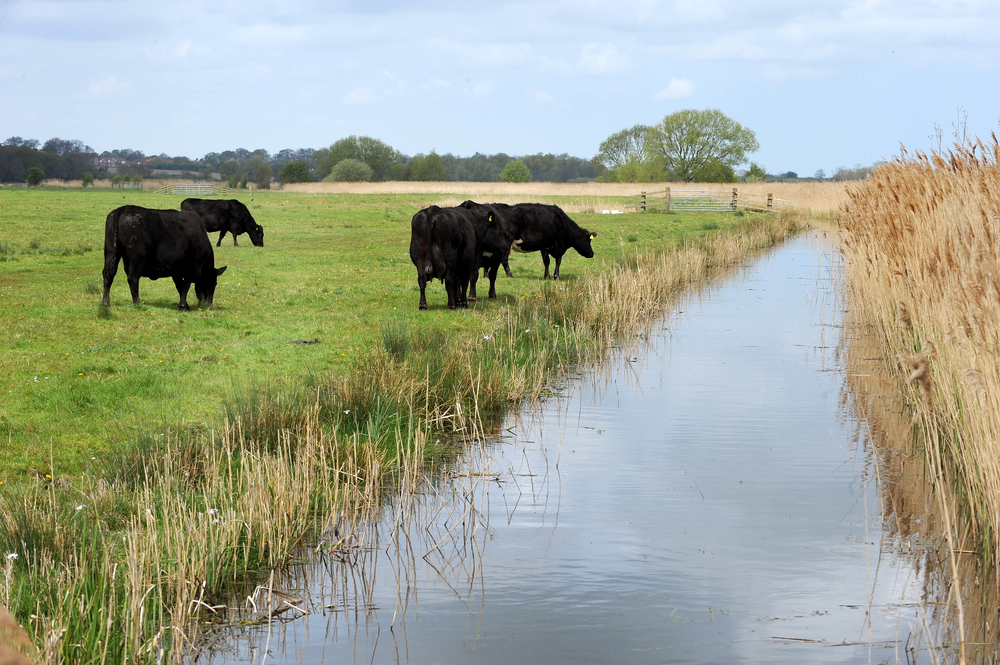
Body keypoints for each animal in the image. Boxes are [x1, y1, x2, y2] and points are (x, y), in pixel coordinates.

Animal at [100, 204, 228, 310]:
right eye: (213, 283)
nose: (209, 304)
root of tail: (122, 210)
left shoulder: (176, 270)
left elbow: (179, 286)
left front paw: (185, 305)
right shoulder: (194, 266)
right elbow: (185, 285)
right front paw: (183, 306)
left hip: (111, 252)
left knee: (108, 275)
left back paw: (105, 303)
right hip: (137, 259)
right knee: (133, 278)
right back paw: (137, 303)